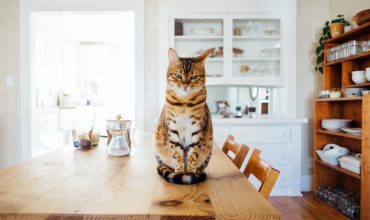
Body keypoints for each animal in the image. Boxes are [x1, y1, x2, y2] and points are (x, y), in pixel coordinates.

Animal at [154, 47, 214, 184]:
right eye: (178, 75)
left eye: (194, 77)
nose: (185, 85)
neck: (184, 104)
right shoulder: (173, 130)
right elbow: (178, 154)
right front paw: (180, 172)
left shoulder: (197, 130)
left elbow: (193, 155)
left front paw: (190, 173)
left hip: (208, 149)